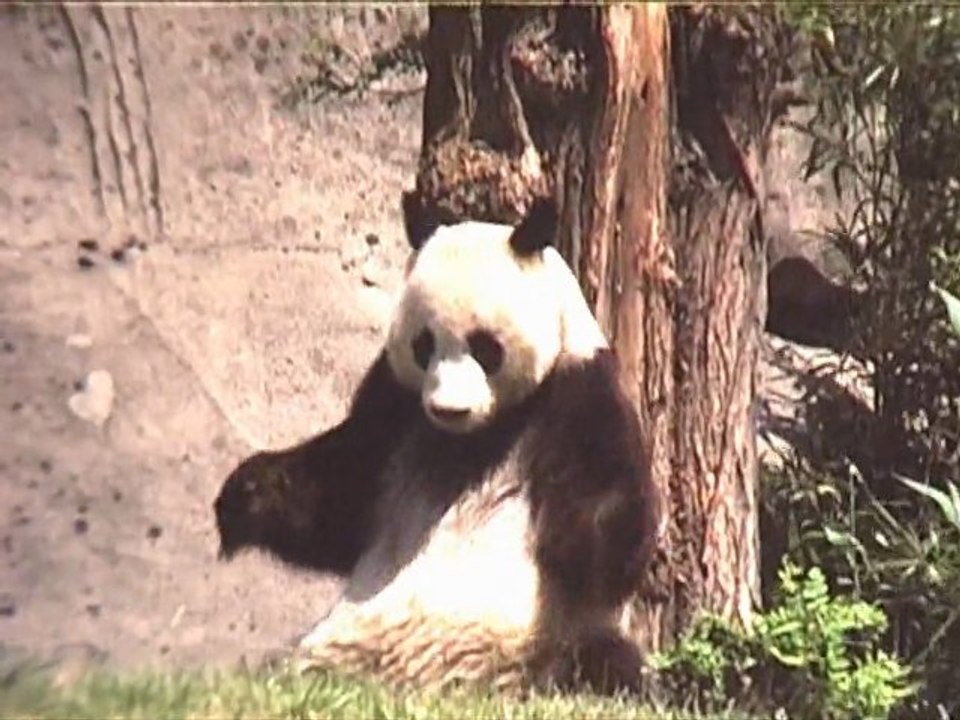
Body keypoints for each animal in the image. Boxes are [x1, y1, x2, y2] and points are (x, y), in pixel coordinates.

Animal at [214, 194, 660, 695]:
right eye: (424, 345)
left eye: (486, 347)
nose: (449, 409)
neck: (472, 439)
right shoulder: (396, 403)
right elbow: (341, 500)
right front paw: (246, 494)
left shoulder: (579, 388)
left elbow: (610, 521)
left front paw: (580, 546)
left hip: (536, 644)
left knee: (603, 660)